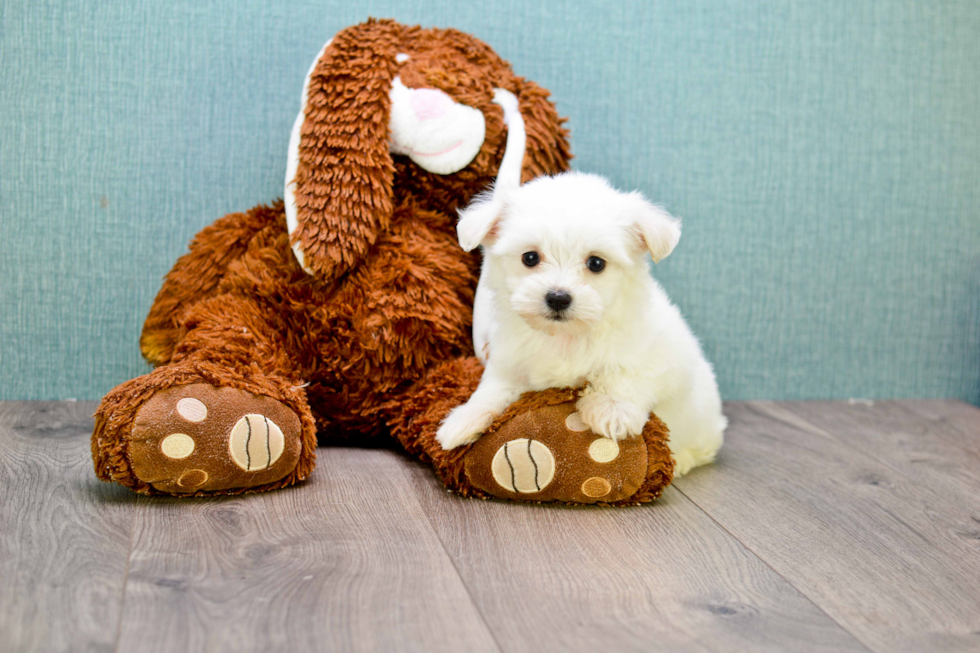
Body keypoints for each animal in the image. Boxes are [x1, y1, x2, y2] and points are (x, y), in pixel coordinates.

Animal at [436, 171, 728, 474]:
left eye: (596, 263)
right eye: (530, 257)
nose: (558, 298)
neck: (565, 335)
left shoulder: (656, 353)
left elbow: (627, 373)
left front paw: (611, 409)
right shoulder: (510, 359)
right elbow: (495, 386)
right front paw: (464, 418)